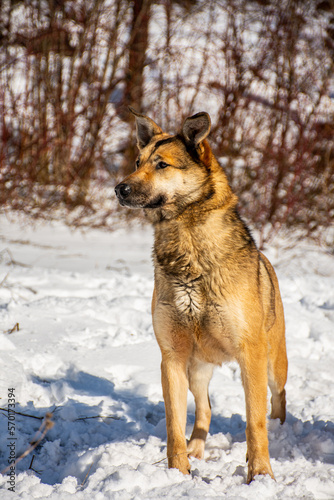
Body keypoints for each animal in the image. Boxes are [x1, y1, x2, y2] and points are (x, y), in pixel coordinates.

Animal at [115, 107, 288, 482]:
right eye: (136, 162)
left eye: (162, 164)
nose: (119, 188)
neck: (187, 244)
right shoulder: (172, 358)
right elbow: (173, 426)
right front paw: (177, 472)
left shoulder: (250, 354)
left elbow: (255, 422)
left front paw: (260, 475)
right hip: (197, 369)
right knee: (205, 408)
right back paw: (196, 450)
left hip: (272, 363)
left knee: (277, 401)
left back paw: (281, 431)